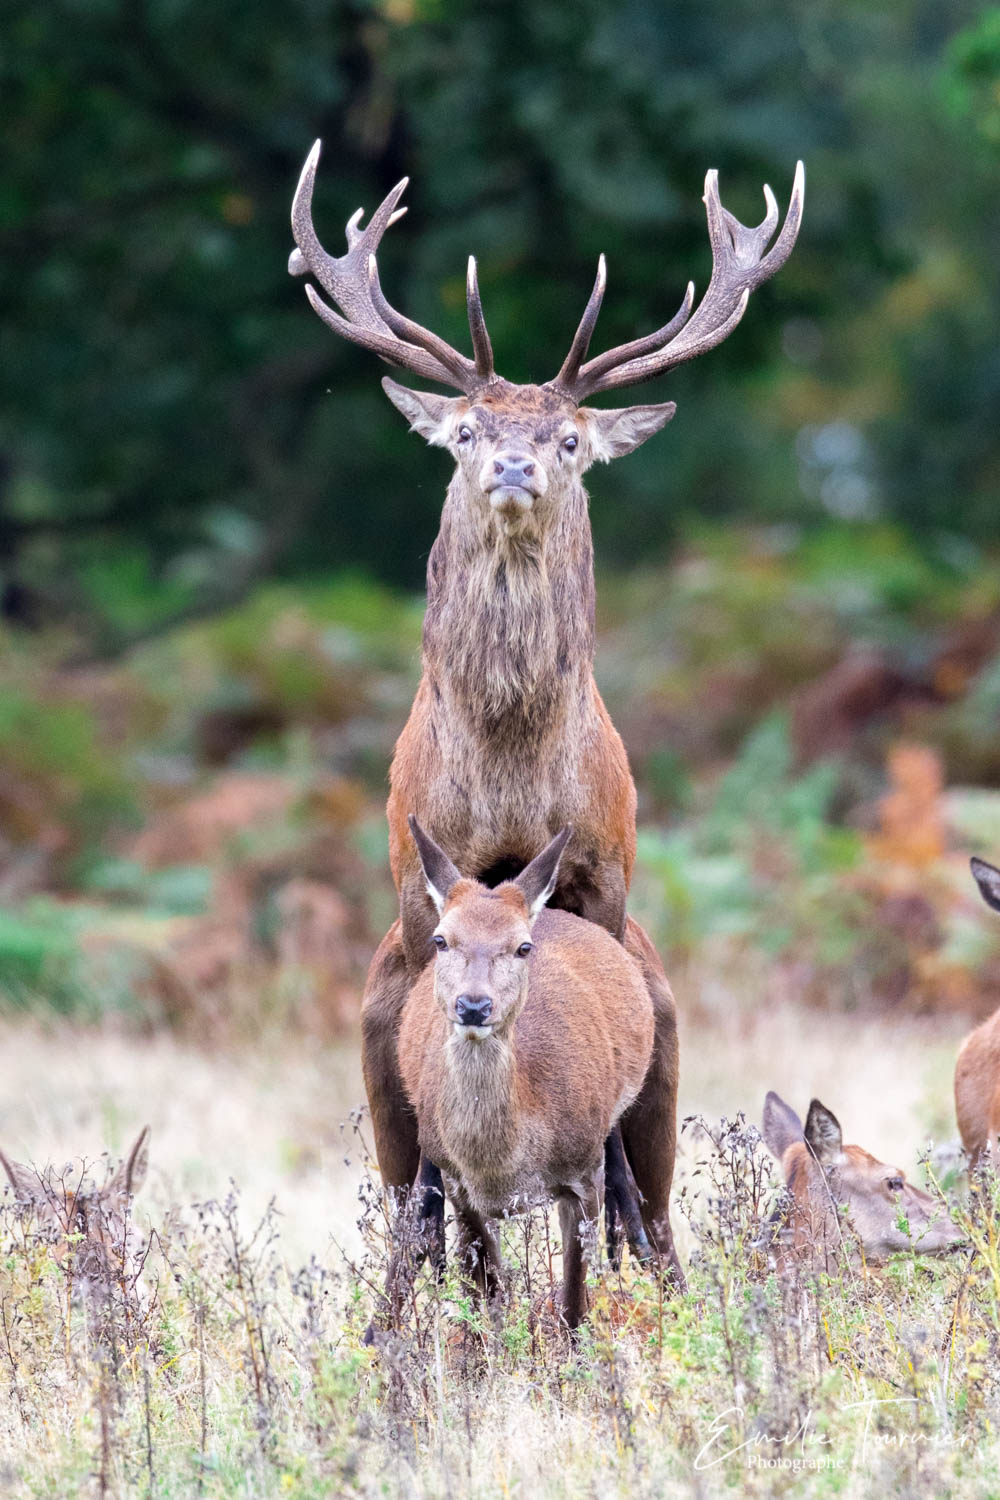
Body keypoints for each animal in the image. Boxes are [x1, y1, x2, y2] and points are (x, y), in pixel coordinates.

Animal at [289, 142, 804, 1279]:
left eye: (571, 439)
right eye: (466, 429)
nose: (515, 465)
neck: (511, 772)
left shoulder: (607, 870)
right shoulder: (413, 884)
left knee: (657, 1208)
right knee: (412, 1190)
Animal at [377, 819, 654, 1333]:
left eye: (523, 946)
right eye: (441, 940)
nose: (473, 1005)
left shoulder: (583, 1172)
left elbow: (574, 1300)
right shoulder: (456, 1182)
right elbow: (490, 1293)